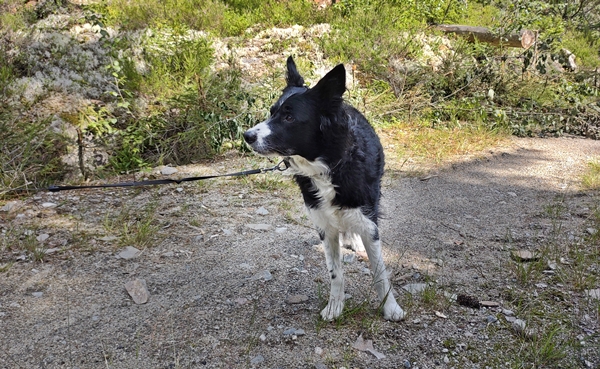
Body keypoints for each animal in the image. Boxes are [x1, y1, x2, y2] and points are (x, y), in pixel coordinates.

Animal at [243, 56, 404, 320]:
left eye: (289, 118)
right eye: (272, 112)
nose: (247, 136)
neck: (328, 166)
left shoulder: (367, 219)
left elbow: (380, 270)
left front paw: (390, 307)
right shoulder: (324, 225)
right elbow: (335, 273)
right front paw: (335, 306)